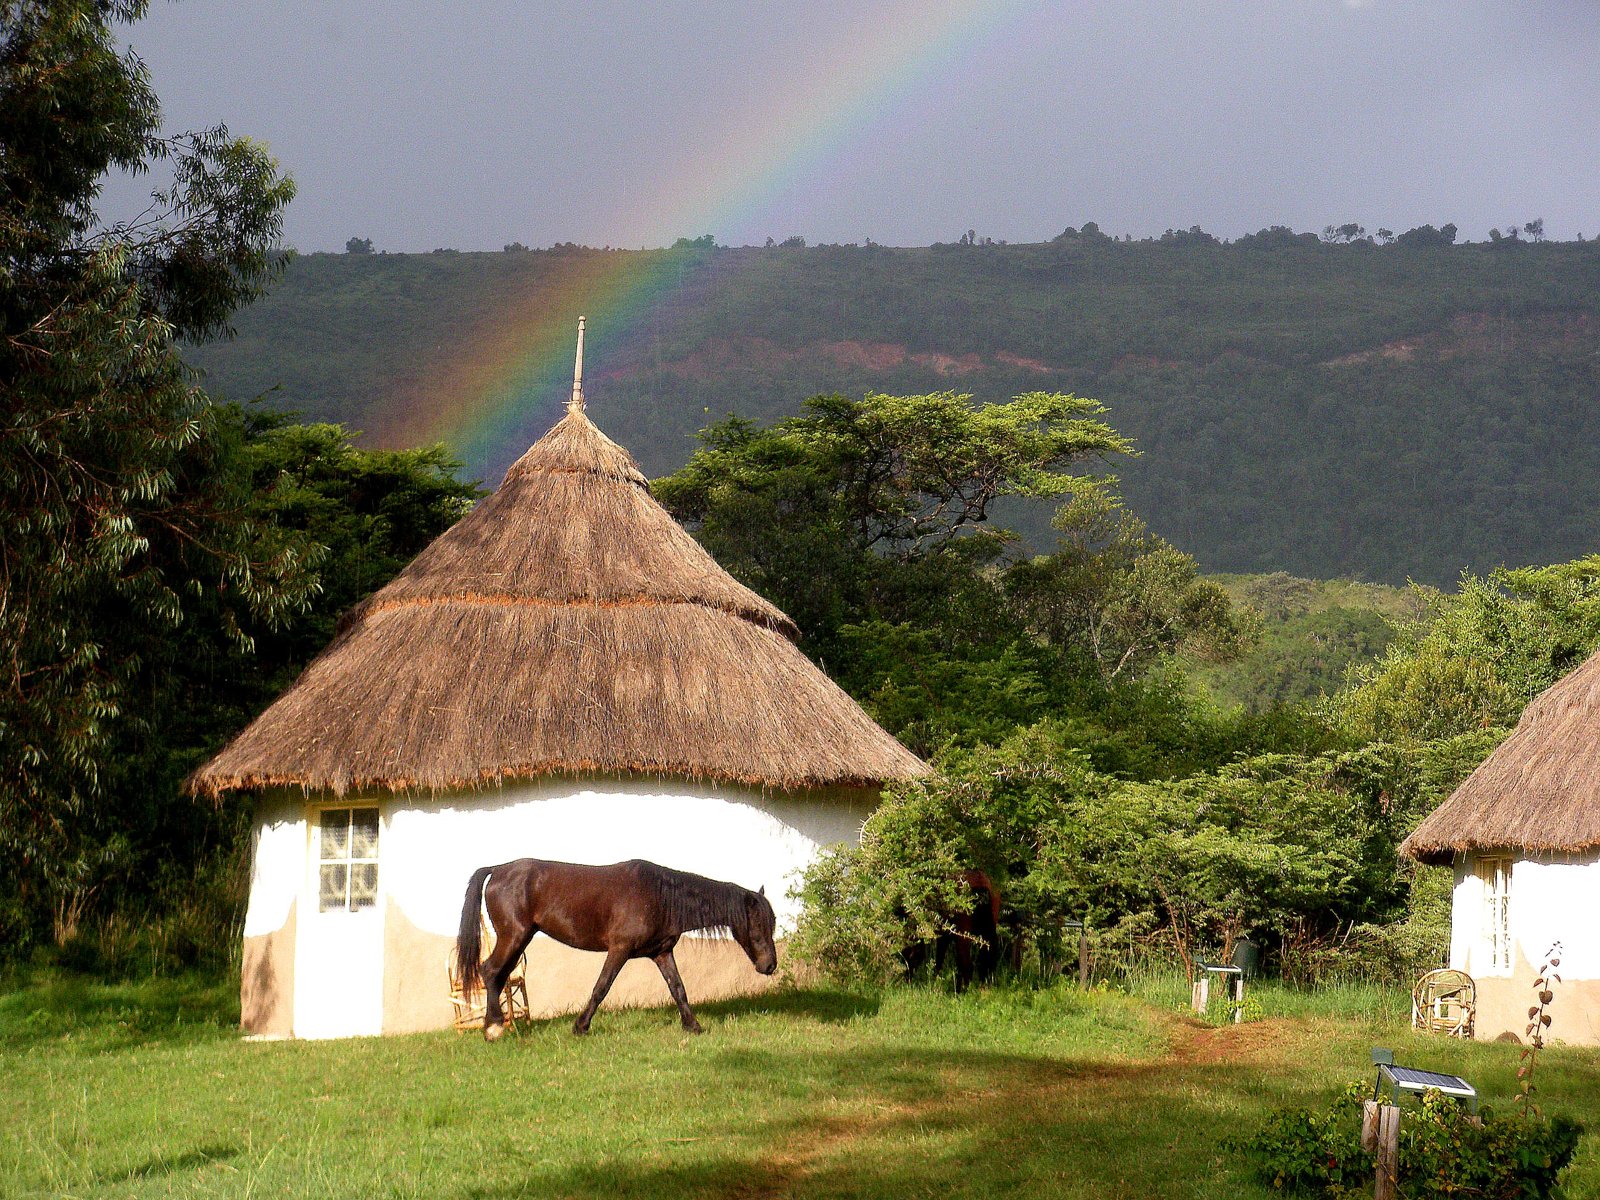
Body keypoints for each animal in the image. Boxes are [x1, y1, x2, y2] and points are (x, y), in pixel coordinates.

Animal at [455, 857, 777, 1039]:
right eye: (758, 926)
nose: (770, 965)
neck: (659, 896)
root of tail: (497, 871)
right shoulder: (619, 950)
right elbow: (602, 987)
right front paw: (580, 1027)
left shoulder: (662, 953)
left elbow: (678, 989)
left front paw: (693, 1026)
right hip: (514, 936)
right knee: (491, 971)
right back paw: (494, 1028)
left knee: (498, 975)